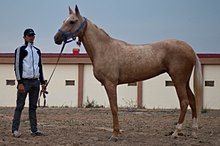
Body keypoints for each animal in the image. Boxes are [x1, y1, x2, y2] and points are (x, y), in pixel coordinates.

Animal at [54, 5, 203, 141]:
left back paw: (176, 132)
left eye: (72, 21)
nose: (56, 38)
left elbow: (114, 108)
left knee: (184, 102)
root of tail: (190, 48)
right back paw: (194, 132)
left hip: (178, 79)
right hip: (185, 81)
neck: (104, 49)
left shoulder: (110, 84)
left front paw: (115, 134)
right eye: (64, 20)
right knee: (192, 100)